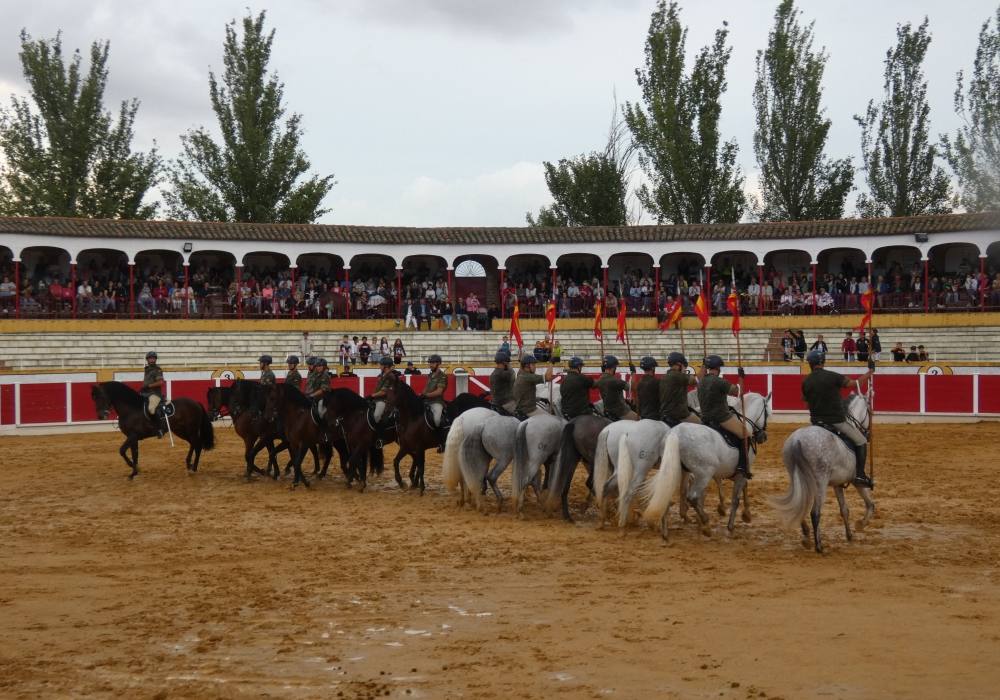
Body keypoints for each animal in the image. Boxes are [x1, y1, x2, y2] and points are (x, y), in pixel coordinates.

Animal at [644, 394, 768, 536]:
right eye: (767, 412)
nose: (763, 436)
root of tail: (675, 433)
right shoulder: (741, 472)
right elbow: (736, 498)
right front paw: (732, 524)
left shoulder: (731, 473)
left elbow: (739, 487)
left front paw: (745, 514)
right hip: (704, 474)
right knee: (692, 497)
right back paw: (705, 525)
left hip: (675, 470)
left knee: (667, 493)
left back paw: (666, 532)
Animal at [772, 394, 876, 552]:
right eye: (869, 411)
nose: (868, 435)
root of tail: (797, 441)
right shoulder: (856, 480)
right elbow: (870, 504)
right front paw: (860, 525)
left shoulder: (838, 484)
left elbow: (844, 510)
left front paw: (849, 535)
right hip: (820, 482)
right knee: (815, 512)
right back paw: (819, 546)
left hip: (799, 479)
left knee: (801, 503)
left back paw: (806, 536)